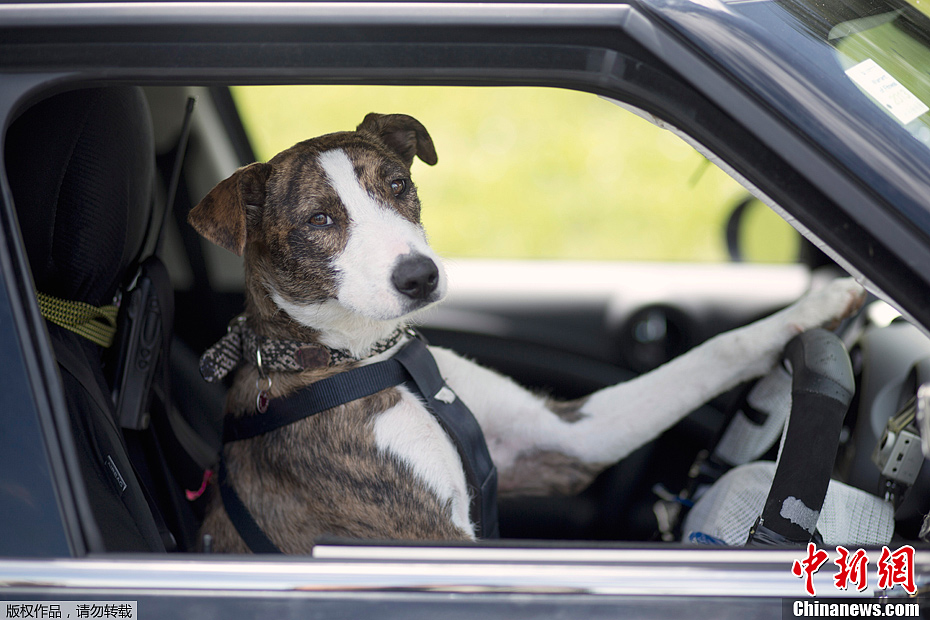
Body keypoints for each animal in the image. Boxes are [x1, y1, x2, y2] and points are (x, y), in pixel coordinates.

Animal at [188, 111, 864, 552]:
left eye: (398, 185)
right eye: (319, 220)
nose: (420, 276)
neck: (368, 359)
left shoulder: (556, 441)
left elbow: (713, 353)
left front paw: (825, 299)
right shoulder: (426, 542)